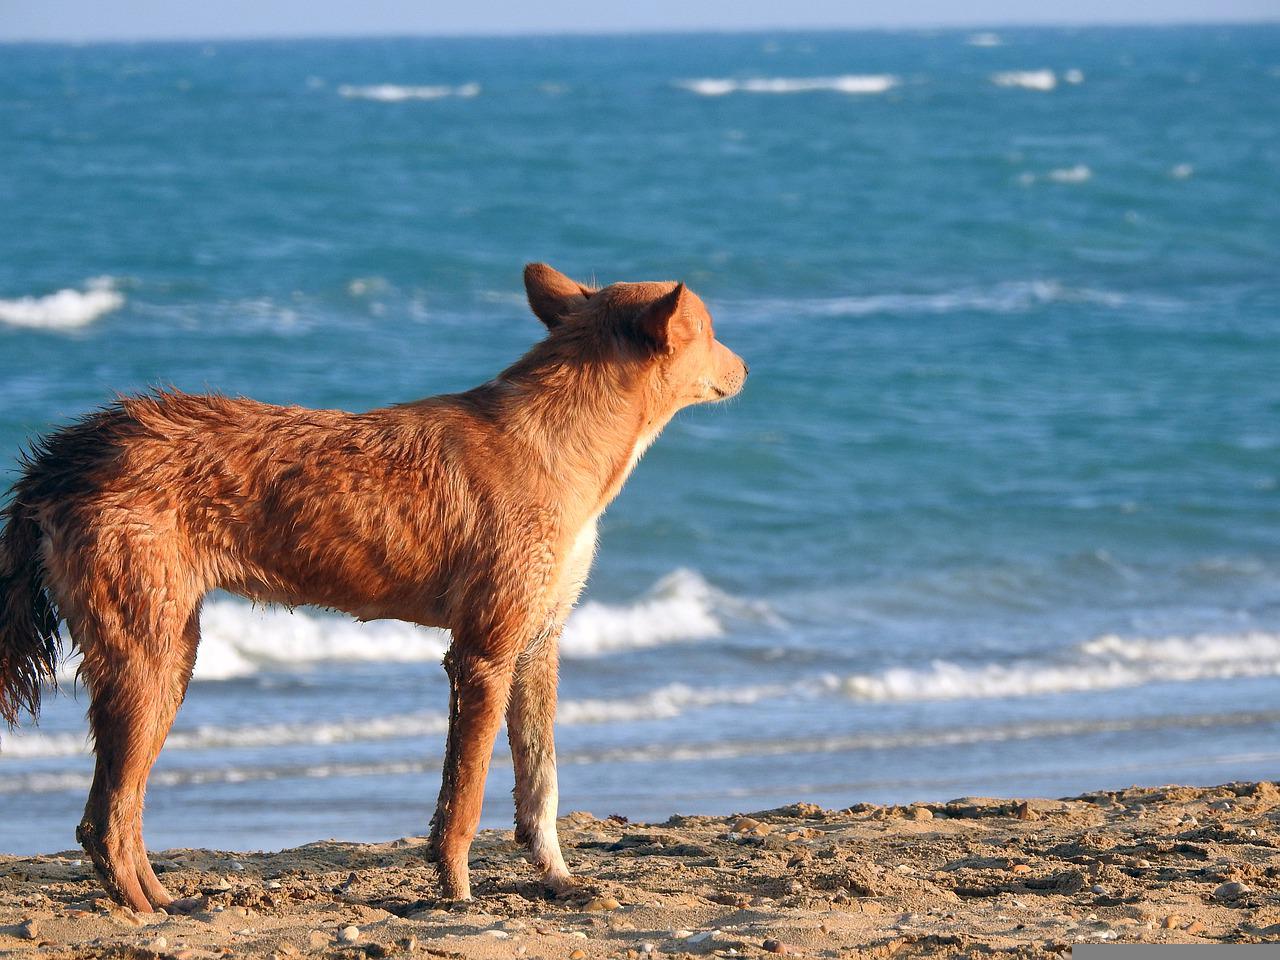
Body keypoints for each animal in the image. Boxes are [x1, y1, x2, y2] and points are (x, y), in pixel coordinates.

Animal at [0, 263, 747, 911]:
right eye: (712, 331)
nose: (746, 367)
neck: (562, 438)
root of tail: (71, 451)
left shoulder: (538, 645)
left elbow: (542, 789)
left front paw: (559, 881)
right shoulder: (483, 655)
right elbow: (465, 798)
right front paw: (456, 894)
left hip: (167, 659)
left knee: (113, 815)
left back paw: (161, 901)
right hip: (150, 661)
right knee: (107, 819)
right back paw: (150, 910)